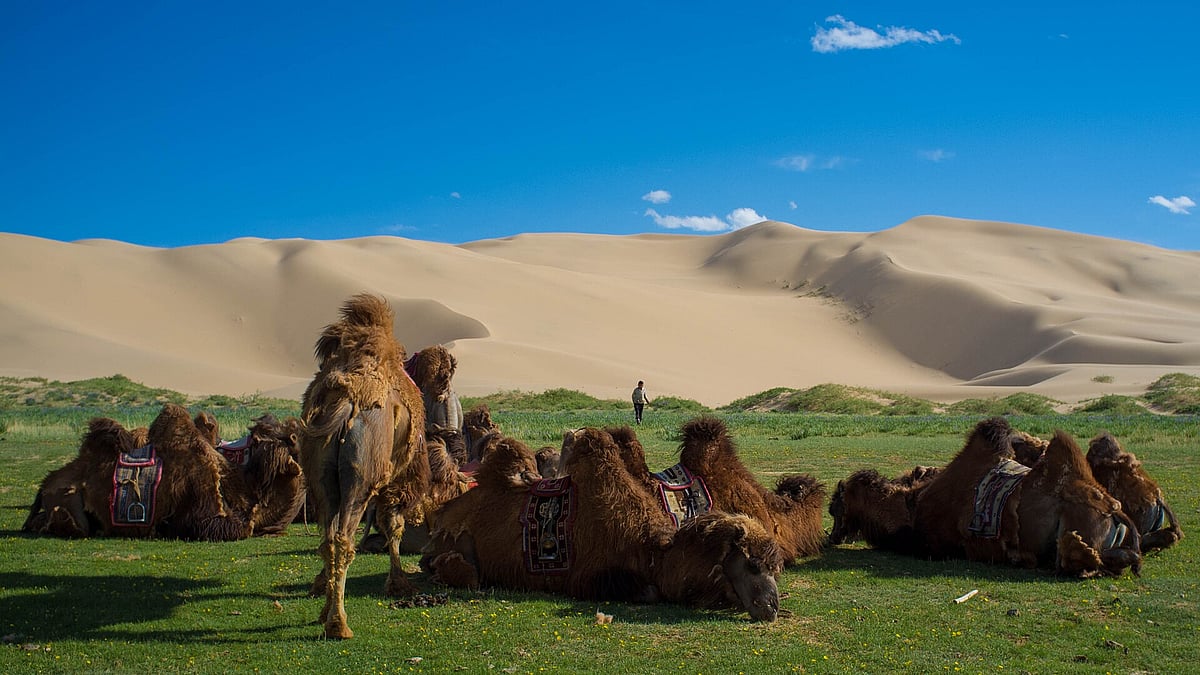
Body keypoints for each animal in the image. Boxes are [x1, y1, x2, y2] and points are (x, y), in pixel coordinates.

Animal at [23, 405, 303, 541]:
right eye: (270, 435)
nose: (295, 435)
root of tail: (45, 484)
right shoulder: (203, 513)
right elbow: (238, 528)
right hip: (67, 499)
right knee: (73, 524)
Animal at [299, 293, 428, 639]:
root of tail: (345, 404)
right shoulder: (395, 481)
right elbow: (393, 526)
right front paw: (398, 583)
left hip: (320, 477)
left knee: (328, 540)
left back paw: (326, 614)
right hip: (361, 475)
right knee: (344, 539)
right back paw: (339, 624)